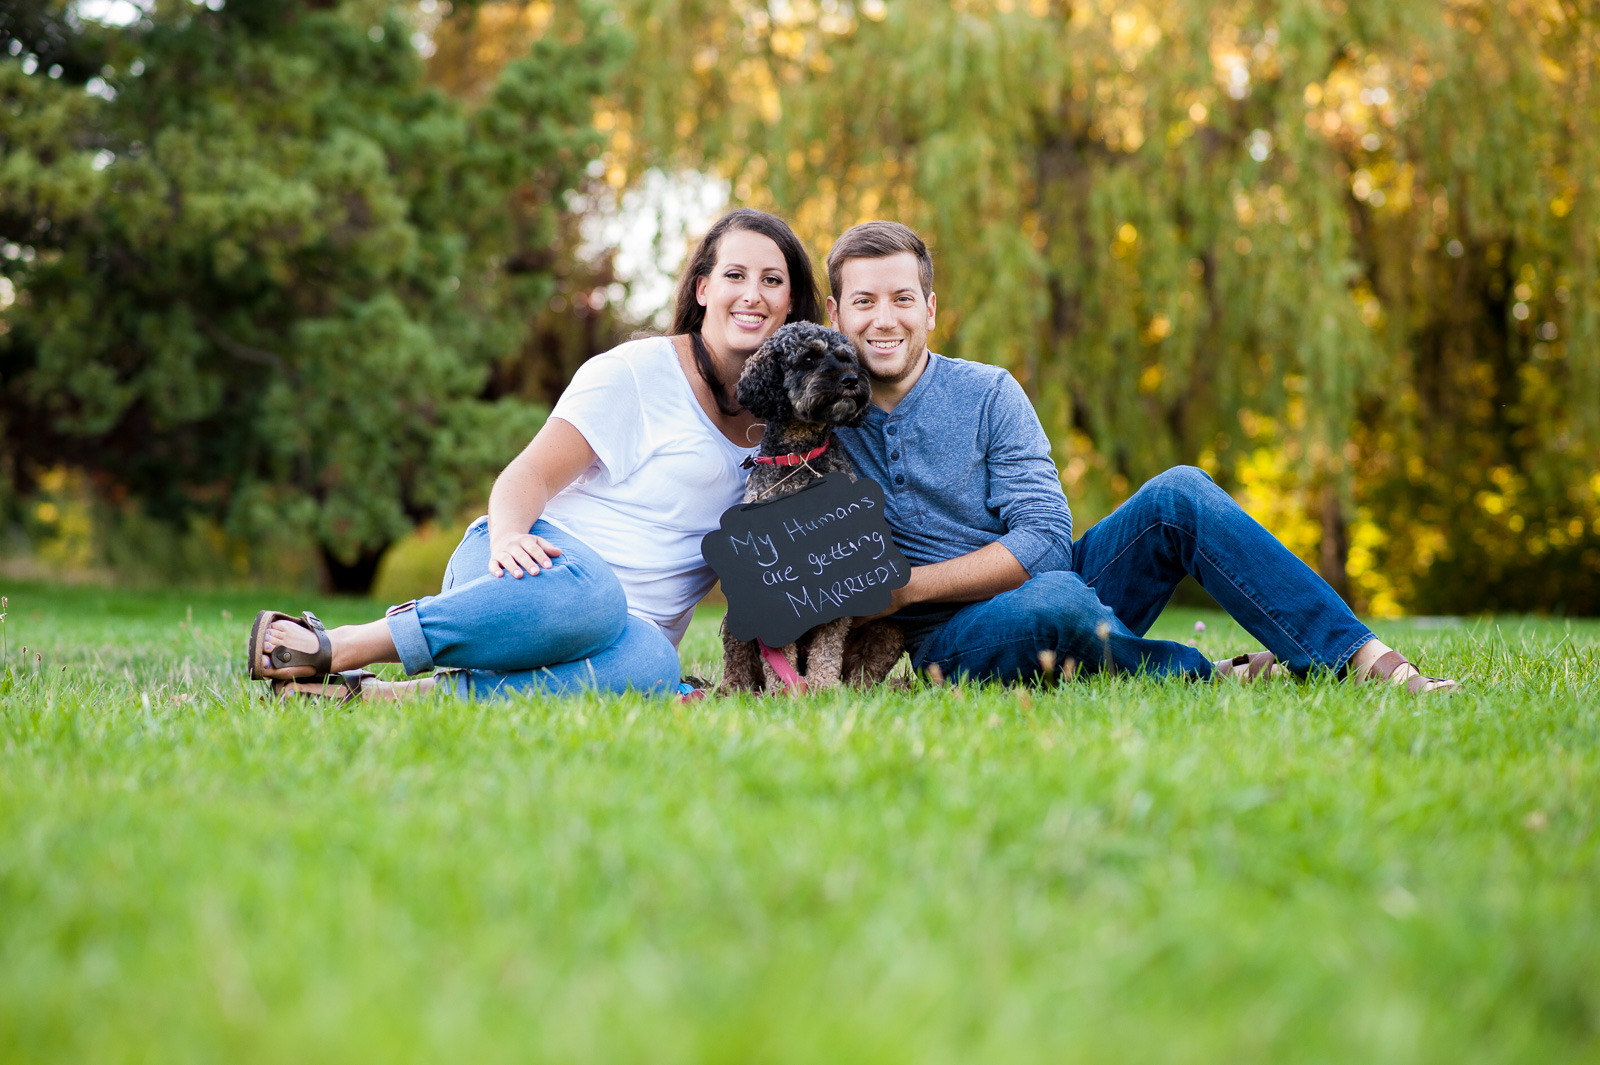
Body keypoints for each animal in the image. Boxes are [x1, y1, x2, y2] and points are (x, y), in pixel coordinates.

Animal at [723, 319, 908, 694]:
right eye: (808, 358)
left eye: (847, 358)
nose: (851, 380)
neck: (801, 456)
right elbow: (777, 649)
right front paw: (784, 692)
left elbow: (829, 641)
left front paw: (822, 687)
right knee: (737, 664)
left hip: (890, 628)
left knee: (863, 673)